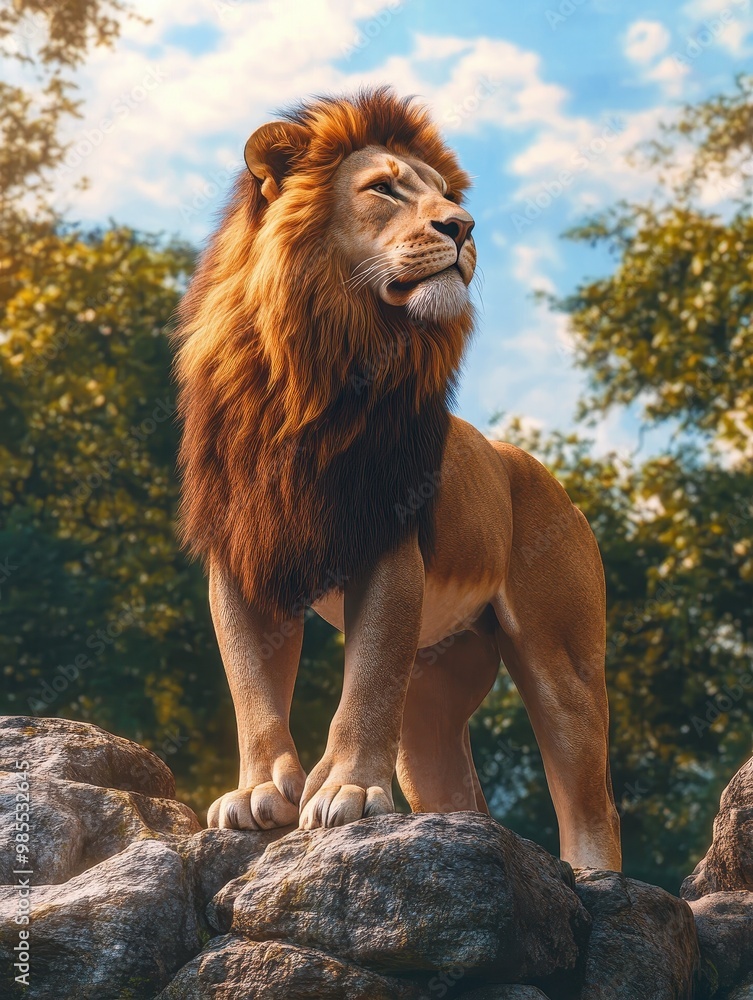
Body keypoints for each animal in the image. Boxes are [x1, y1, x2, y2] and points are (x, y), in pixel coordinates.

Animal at [174, 87, 622, 871]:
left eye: (447, 196)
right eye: (383, 188)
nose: (464, 227)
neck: (311, 374)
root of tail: (536, 470)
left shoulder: (386, 543)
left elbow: (365, 683)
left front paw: (347, 793)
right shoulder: (241, 553)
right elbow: (252, 688)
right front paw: (259, 795)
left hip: (561, 658)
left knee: (589, 800)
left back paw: (593, 881)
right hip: (434, 692)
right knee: (460, 796)